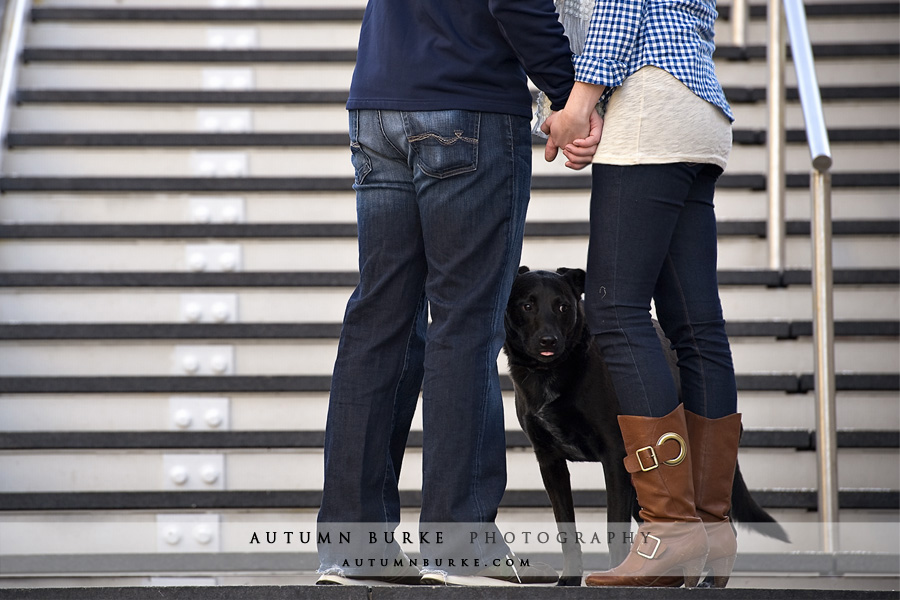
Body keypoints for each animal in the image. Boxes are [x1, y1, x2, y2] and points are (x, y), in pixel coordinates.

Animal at [502, 266, 792, 584]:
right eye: (527, 305)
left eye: (563, 306)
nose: (548, 341)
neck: (552, 372)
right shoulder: (550, 462)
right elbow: (566, 528)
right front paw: (569, 579)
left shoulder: (614, 457)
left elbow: (614, 531)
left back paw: (707, 580)